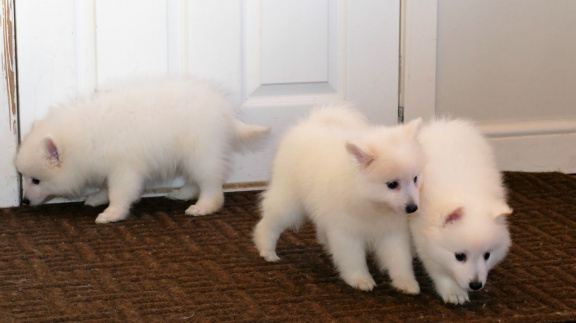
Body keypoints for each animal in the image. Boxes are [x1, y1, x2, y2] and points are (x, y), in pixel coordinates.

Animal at [14, 79, 272, 225]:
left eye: (36, 180)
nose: (24, 201)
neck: (85, 137)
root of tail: (226, 114)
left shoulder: (124, 169)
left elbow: (119, 193)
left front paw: (112, 213)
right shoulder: (108, 166)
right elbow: (106, 187)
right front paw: (98, 197)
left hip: (201, 151)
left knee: (211, 182)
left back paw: (204, 206)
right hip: (190, 155)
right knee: (195, 179)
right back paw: (183, 193)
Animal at [254, 105, 426, 294]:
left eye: (415, 178)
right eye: (392, 184)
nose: (413, 208)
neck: (372, 204)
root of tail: (311, 123)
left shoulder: (393, 231)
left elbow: (399, 259)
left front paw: (406, 283)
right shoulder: (347, 232)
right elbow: (353, 259)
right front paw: (360, 279)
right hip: (289, 201)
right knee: (270, 222)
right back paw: (267, 250)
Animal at [410, 117, 512, 306]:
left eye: (487, 255)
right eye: (459, 256)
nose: (476, 285)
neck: (468, 196)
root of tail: (442, 124)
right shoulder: (425, 237)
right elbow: (437, 268)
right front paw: (453, 291)